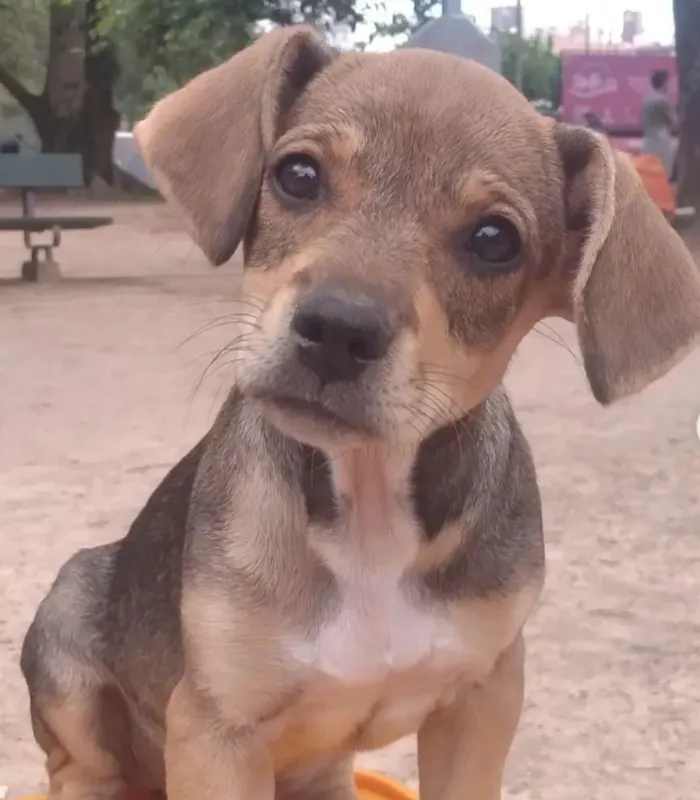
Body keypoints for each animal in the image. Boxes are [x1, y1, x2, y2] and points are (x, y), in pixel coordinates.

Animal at [20, 25, 700, 800]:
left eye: (495, 240)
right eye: (298, 175)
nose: (339, 329)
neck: (369, 504)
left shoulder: (484, 698)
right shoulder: (215, 728)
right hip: (70, 619)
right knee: (82, 769)